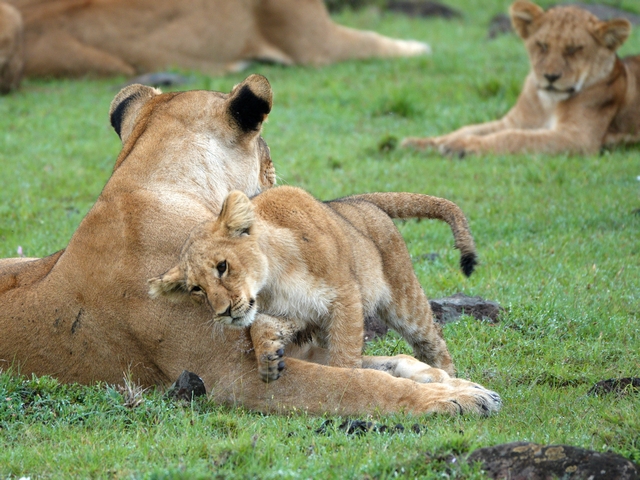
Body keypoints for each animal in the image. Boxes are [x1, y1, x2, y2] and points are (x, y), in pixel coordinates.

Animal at [148, 186, 477, 384]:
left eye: (222, 266)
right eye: (196, 289)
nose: (223, 313)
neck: (273, 280)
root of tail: (358, 201)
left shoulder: (345, 297)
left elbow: (345, 352)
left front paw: (348, 382)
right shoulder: (299, 314)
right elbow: (260, 325)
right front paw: (268, 358)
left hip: (405, 300)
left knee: (433, 340)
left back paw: (451, 377)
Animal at [402, 0, 640, 156]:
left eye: (573, 49)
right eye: (542, 45)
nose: (550, 77)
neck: (548, 103)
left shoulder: (578, 137)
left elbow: (515, 137)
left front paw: (462, 147)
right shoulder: (515, 121)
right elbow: (469, 128)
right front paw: (422, 143)